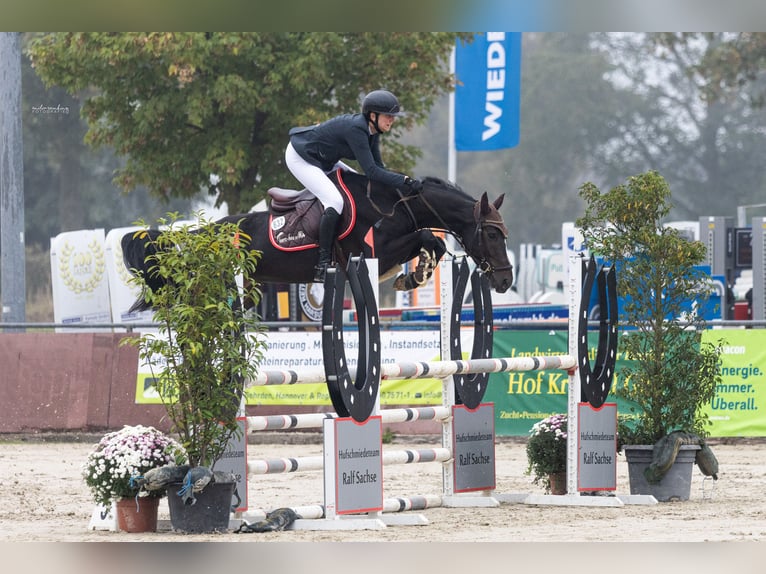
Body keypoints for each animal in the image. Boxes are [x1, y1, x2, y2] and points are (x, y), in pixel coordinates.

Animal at [121, 170, 516, 312]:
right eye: (491, 233)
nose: (505, 280)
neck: (394, 204)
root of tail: (199, 236)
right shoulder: (375, 251)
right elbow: (427, 239)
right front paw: (415, 275)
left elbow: (430, 242)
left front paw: (413, 275)